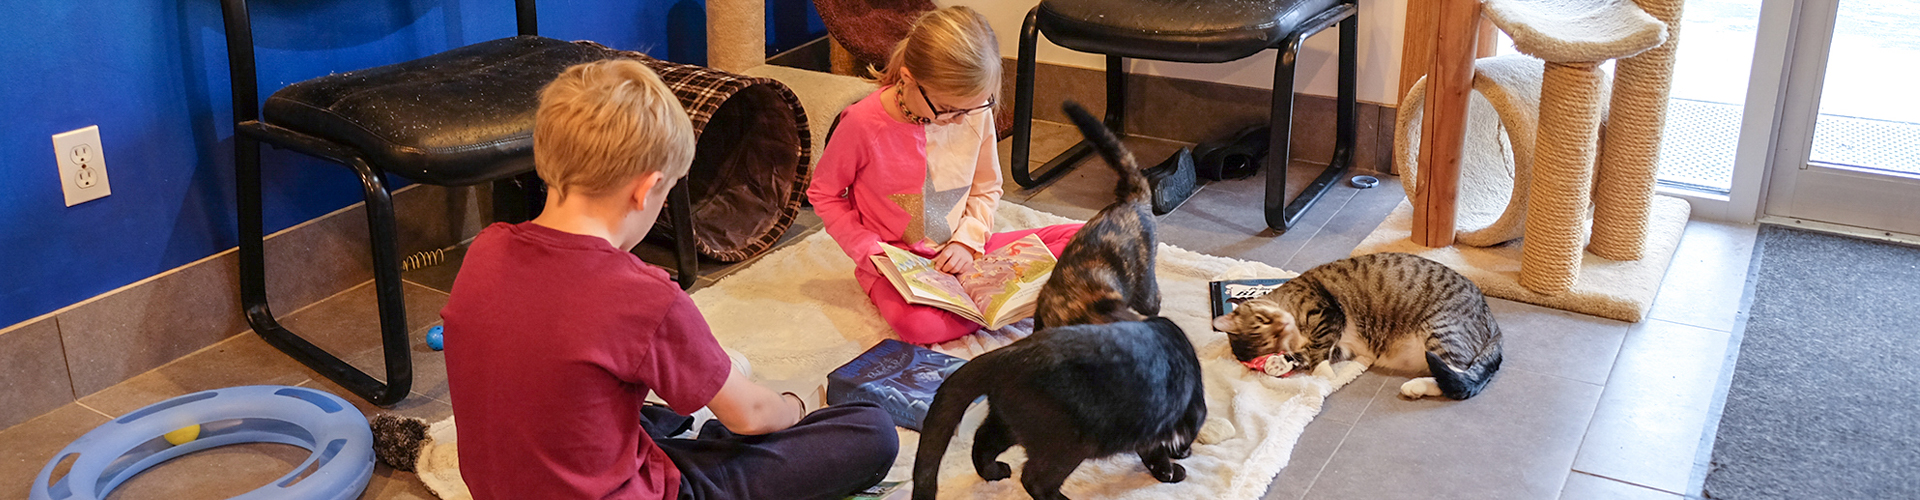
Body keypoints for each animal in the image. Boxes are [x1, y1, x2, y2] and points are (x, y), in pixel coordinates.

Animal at [1213, 251, 1497, 400]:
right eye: (1272, 340)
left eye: (1263, 320)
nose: (1282, 325)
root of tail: (1493, 323)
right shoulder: (1343, 345)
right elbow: (1308, 353)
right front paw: (1278, 362)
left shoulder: (1328, 314)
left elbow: (1317, 351)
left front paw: (1323, 373)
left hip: (1441, 329)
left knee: (1456, 376)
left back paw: (1415, 386)